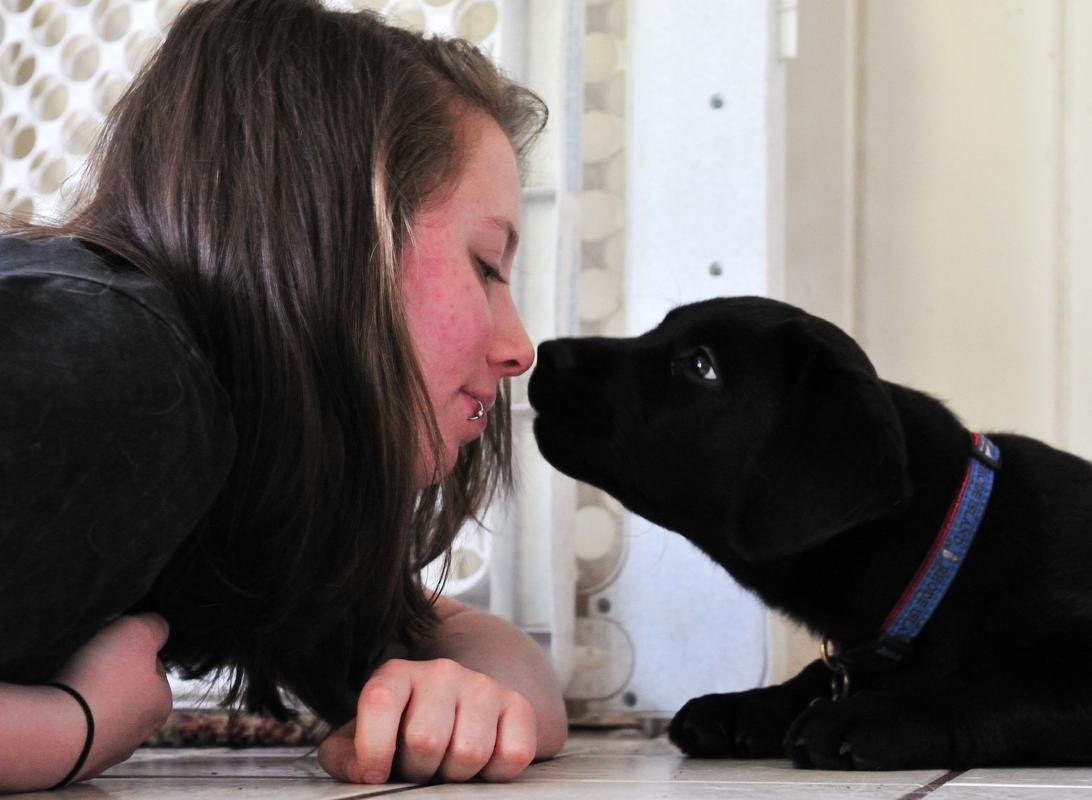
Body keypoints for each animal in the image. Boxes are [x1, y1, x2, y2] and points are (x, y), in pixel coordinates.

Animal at [528, 294, 1092, 768]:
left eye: (701, 365)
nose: (546, 354)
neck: (951, 553)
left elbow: (991, 689)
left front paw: (871, 714)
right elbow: (818, 674)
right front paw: (744, 706)